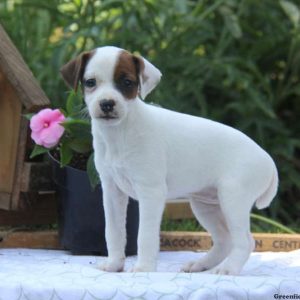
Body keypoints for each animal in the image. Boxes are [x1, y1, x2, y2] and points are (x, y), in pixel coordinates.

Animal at [61, 45, 278, 276]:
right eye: (90, 82)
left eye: (127, 82)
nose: (107, 104)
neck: (120, 132)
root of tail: (269, 161)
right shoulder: (112, 191)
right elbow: (113, 231)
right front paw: (114, 264)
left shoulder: (151, 192)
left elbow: (145, 235)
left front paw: (144, 268)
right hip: (206, 205)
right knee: (224, 240)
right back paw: (200, 265)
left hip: (233, 200)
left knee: (245, 241)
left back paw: (228, 269)